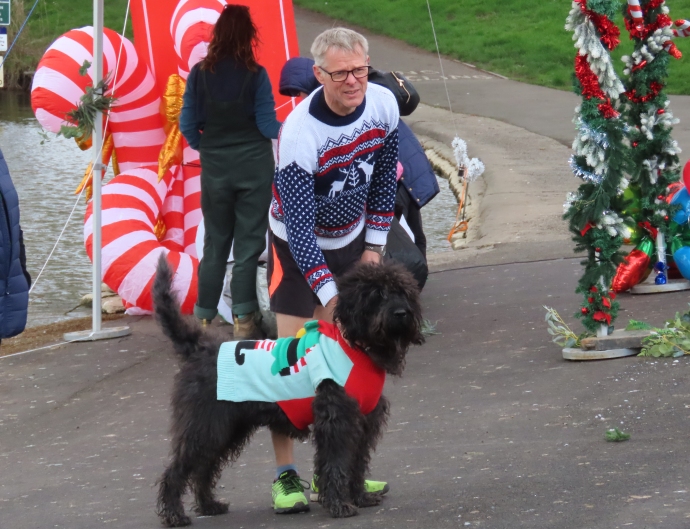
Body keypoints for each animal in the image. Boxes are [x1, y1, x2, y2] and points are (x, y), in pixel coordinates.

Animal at [153, 256, 422, 524]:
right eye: (378, 294)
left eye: (403, 292)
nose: (401, 313)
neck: (354, 347)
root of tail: (200, 347)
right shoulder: (337, 424)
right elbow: (336, 464)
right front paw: (339, 505)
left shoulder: (364, 423)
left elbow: (355, 463)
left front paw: (359, 497)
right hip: (205, 427)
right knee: (177, 470)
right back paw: (175, 514)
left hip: (226, 429)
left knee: (203, 468)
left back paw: (208, 505)